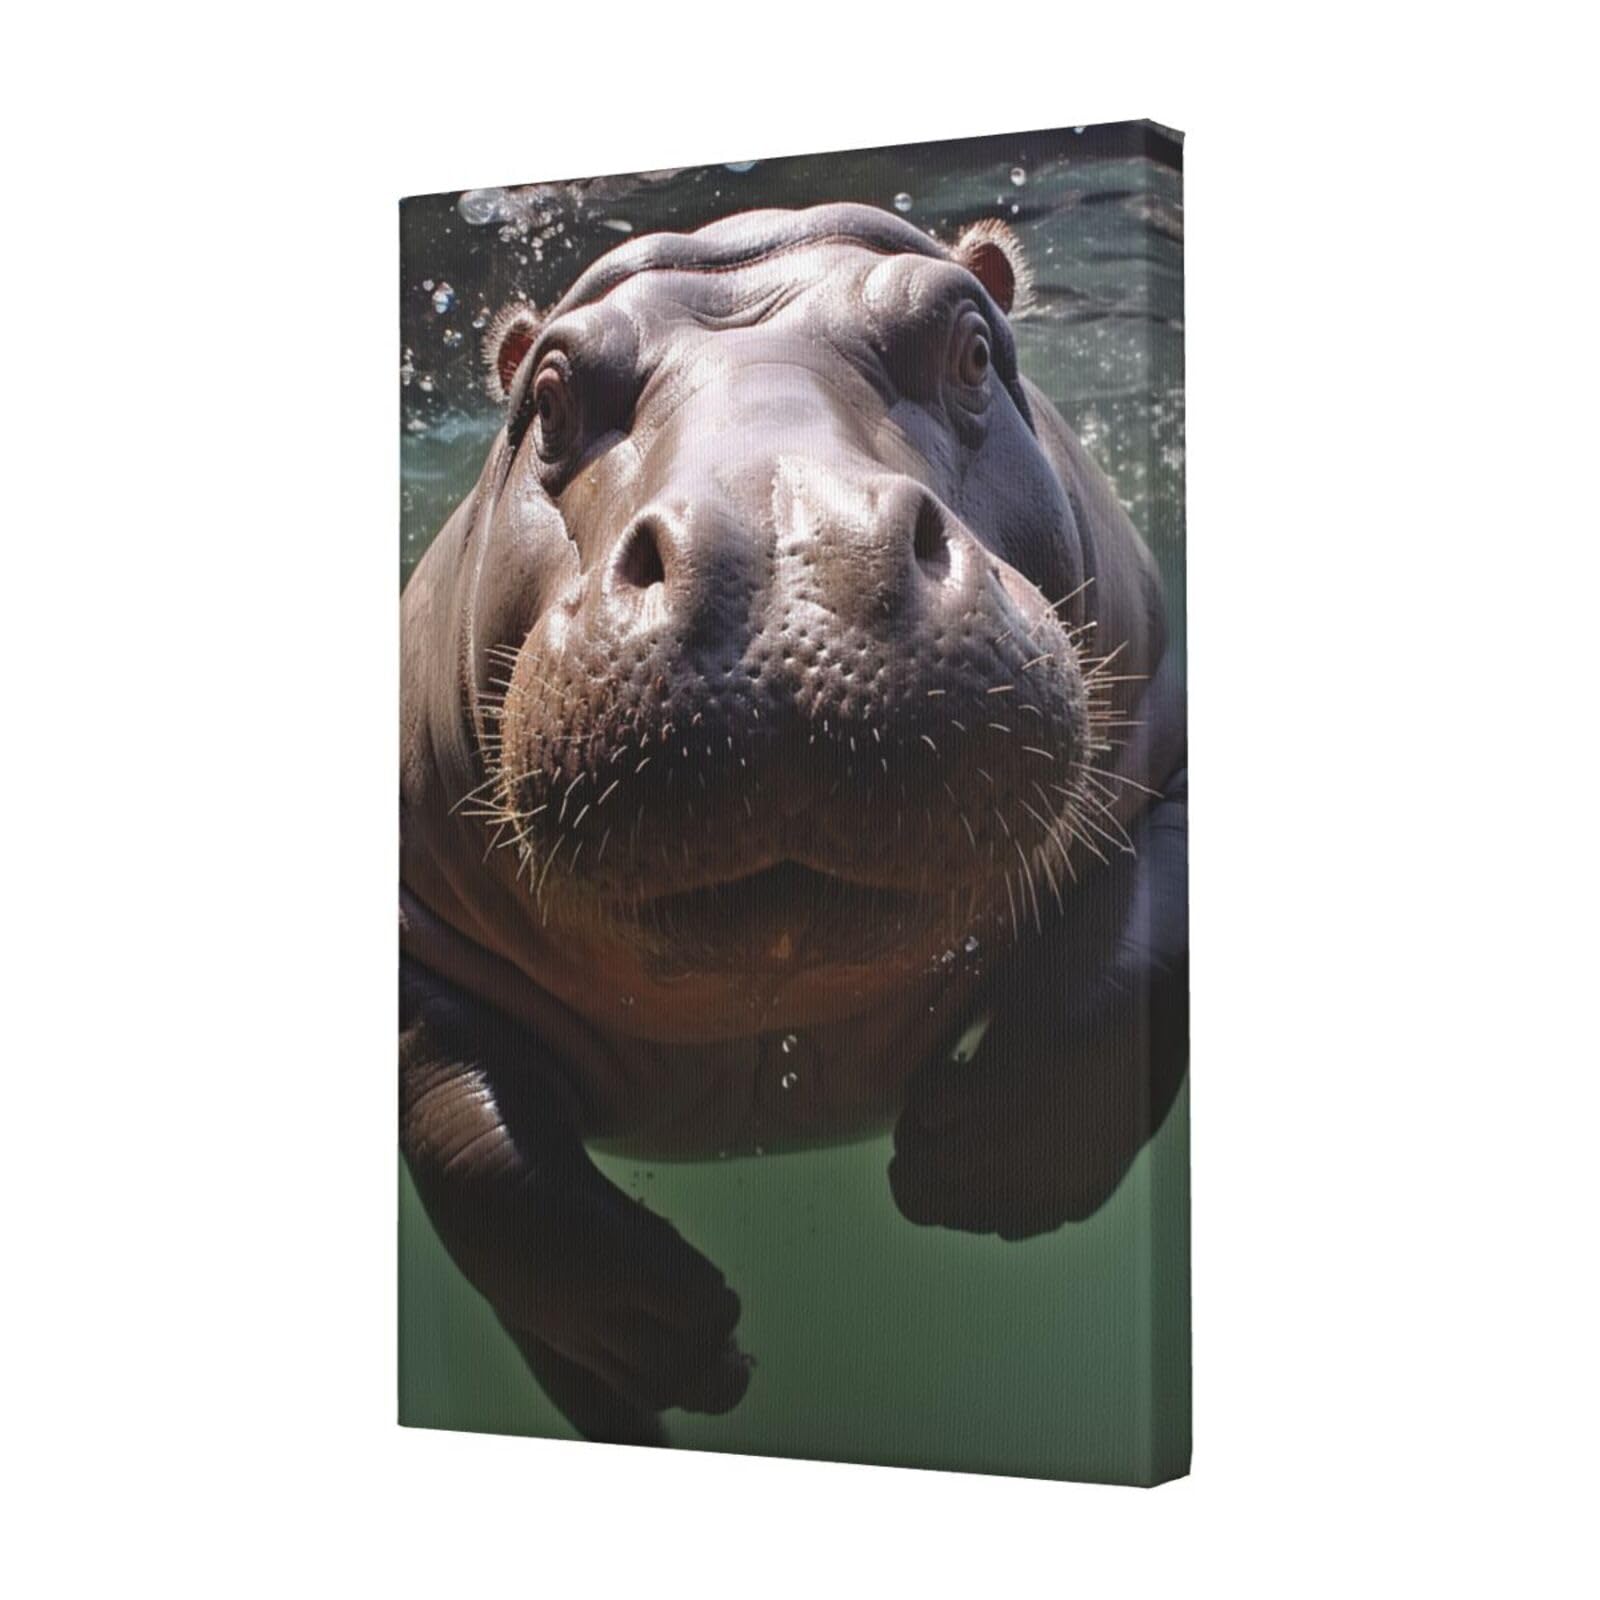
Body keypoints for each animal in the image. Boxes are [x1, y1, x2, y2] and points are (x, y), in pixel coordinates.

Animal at [400, 203, 1187, 1446]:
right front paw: (673, 1331)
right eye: (552, 395)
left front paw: (972, 1167)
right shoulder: (411, 922)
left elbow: (1127, 972)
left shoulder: (1167, 762)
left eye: (972, 347)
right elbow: (473, 1138)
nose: (778, 547)